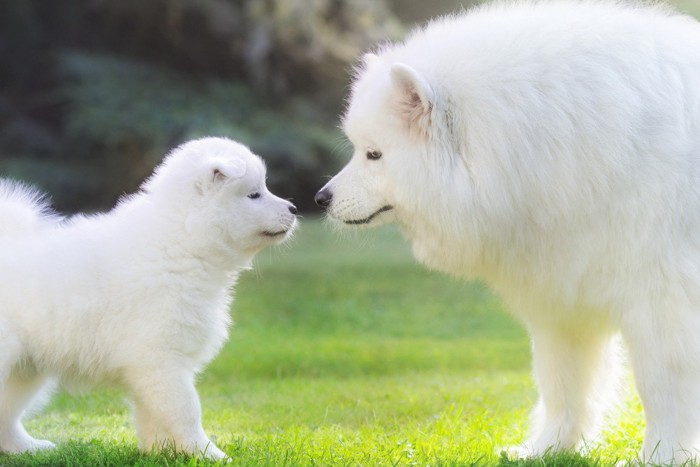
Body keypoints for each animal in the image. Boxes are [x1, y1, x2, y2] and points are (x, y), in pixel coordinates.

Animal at [0, 137, 298, 458]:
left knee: (7, 413)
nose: (294, 208)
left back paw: (27, 447)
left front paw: (162, 451)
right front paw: (208, 454)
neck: (181, 240)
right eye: (254, 194)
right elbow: (185, 410)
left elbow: (153, 414)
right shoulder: (161, 358)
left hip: (26, 368)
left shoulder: (153, 365)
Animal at [318, 1, 700, 466]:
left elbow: (663, 387)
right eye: (358, 149)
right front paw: (547, 448)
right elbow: (562, 383)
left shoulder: (662, 300)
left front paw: (662, 456)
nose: (321, 198)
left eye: (374, 154)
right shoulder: (564, 297)